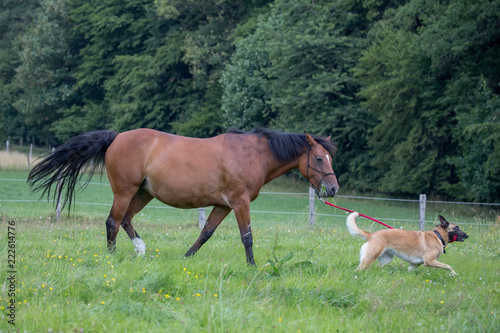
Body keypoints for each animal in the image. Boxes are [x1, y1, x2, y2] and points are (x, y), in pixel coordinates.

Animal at [28, 127, 340, 264]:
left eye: (329, 158)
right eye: (319, 159)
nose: (334, 189)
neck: (251, 154)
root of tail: (116, 137)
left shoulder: (223, 206)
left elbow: (205, 234)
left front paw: (186, 257)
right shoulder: (239, 202)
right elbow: (247, 236)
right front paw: (253, 266)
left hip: (143, 193)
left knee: (126, 220)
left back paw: (140, 250)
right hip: (125, 191)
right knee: (112, 222)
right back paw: (112, 257)